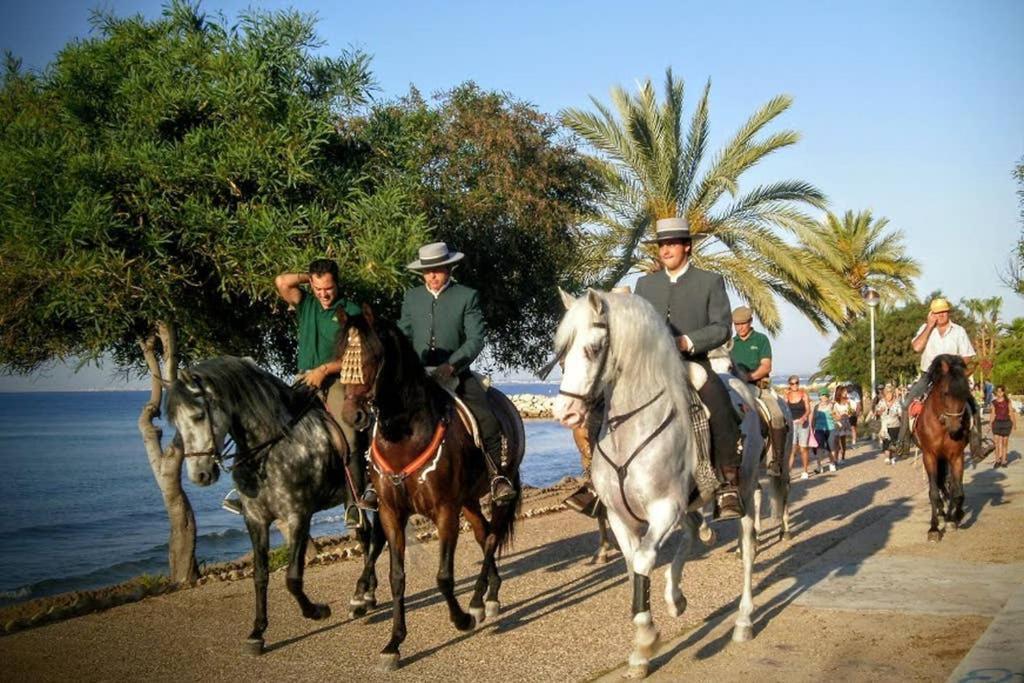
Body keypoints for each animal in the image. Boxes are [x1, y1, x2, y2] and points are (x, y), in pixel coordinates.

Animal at [167, 356, 385, 655]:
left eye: (199, 416)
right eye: (175, 422)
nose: (199, 475)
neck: (271, 447)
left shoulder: (297, 516)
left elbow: (292, 578)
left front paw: (317, 611)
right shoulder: (255, 519)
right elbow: (260, 575)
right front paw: (257, 632)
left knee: (376, 539)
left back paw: (361, 599)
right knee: (366, 536)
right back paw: (366, 596)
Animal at [337, 307, 528, 671]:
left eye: (373, 356)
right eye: (339, 356)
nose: (353, 416)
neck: (404, 434)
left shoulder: (444, 511)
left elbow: (443, 576)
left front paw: (461, 619)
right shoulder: (390, 513)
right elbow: (397, 576)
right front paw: (393, 644)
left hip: (499, 488)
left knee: (492, 538)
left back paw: (479, 600)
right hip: (468, 499)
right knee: (484, 534)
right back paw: (489, 595)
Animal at [917, 356, 970, 540]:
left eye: (966, 394)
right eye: (945, 393)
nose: (955, 428)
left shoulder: (956, 456)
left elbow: (957, 490)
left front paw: (954, 517)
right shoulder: (929, 455)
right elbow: (933, 492)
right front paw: (934, 528)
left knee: (949, 484)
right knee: (939, 483)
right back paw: (941, 510)